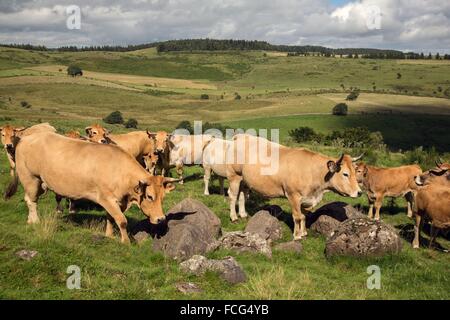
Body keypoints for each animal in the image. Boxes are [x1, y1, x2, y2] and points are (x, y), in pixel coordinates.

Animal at [227, 133, 360, 240]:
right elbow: (297, 217)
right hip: (234, 176)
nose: (359, 192)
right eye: (345, 174)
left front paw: (304, 232)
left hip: (244, 180)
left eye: (356, 172)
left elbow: (304, 216)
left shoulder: (306, 198)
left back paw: (243, 214)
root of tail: (241, 136)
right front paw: (297, 236)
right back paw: (234, 217)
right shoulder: (293, 195)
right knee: (233, 196)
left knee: (242, 194)